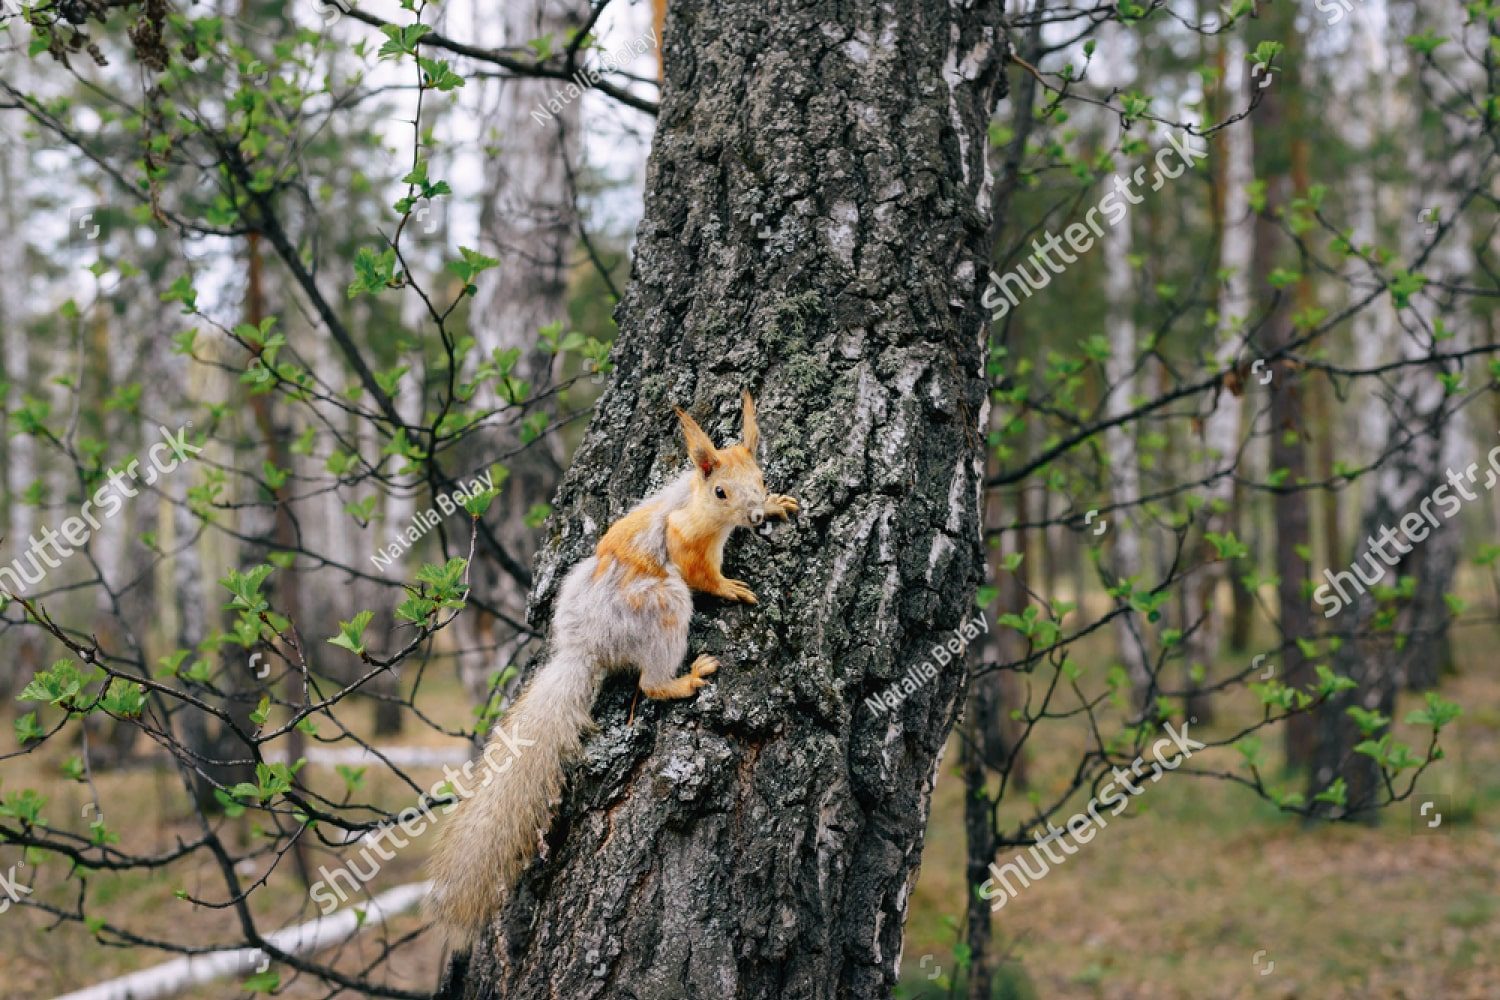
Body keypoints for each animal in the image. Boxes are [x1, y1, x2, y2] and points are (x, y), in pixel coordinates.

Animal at [424, 390, 798, 949]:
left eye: (762, 477)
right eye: (721, 490)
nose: (755, 516)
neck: (696, 499)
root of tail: (587, 647)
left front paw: (777, 505)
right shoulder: (684, 536)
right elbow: (702, 573)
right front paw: (729, 587)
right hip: (661, 605)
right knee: (650, 681)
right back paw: (685, 678)